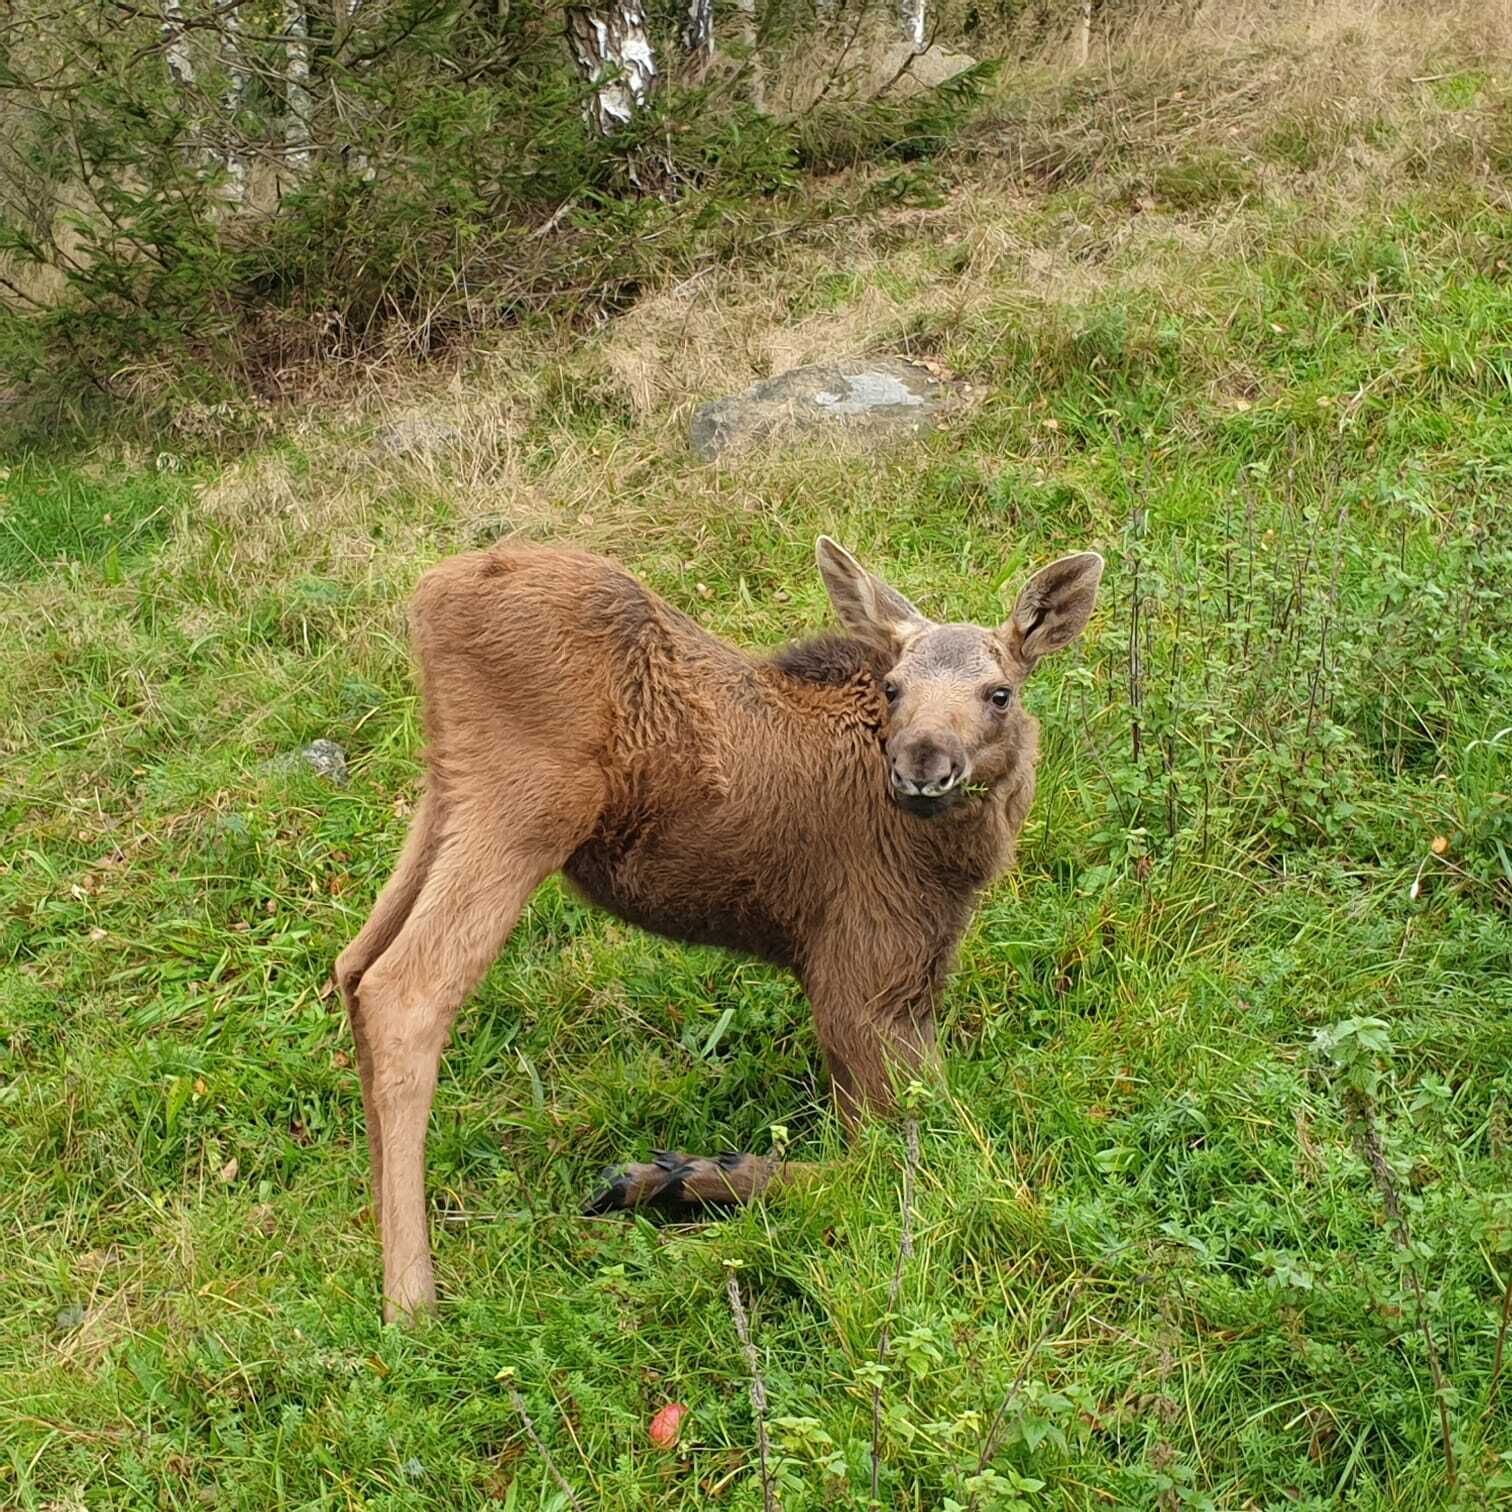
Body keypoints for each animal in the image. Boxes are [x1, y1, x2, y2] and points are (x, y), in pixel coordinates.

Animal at [336, 537, 1104, 1321]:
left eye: (999, 692)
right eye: (894, 689)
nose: (922, 764)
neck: (956, 865)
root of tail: (434, 598)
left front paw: (670, 1176)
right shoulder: (867, 968)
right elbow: (888, 1156)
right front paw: (677, 1175)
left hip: (445, 794)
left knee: (353, 964)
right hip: (525, 804)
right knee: (405, 990)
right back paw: (411, 1299)